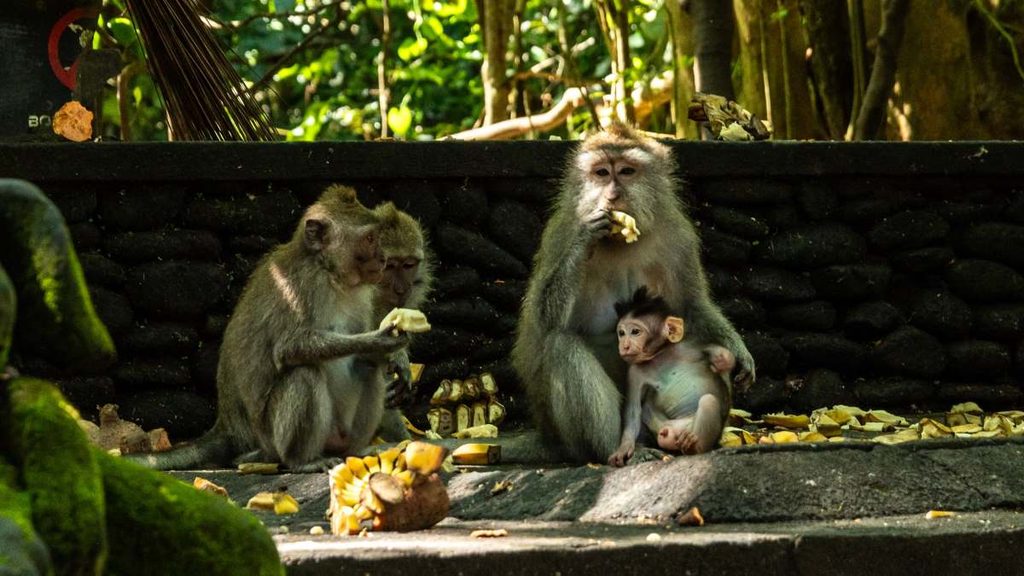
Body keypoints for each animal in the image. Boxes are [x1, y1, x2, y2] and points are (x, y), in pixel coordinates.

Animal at [128, 185, 409, 472]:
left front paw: (397, 357)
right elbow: (290, 347)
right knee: (304, 373)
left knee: (369, 369)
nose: (383, 259)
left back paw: (357, 450)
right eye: (370, 238)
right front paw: (380, 341)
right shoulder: (301, 287)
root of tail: (228, 426)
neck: (329, 272)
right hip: (271, 438)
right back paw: (300, 461)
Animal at [607, 287, 733, 467]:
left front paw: (723, 359)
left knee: (708, 400)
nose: (624, 346)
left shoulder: (687, 346)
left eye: (635, 332)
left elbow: (710, 348)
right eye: (621, 333)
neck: (660, 355)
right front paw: (624, 448)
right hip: (664, 427)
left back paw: (695, 446)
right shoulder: (634, 373)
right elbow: (633, 409)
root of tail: (673, 428)